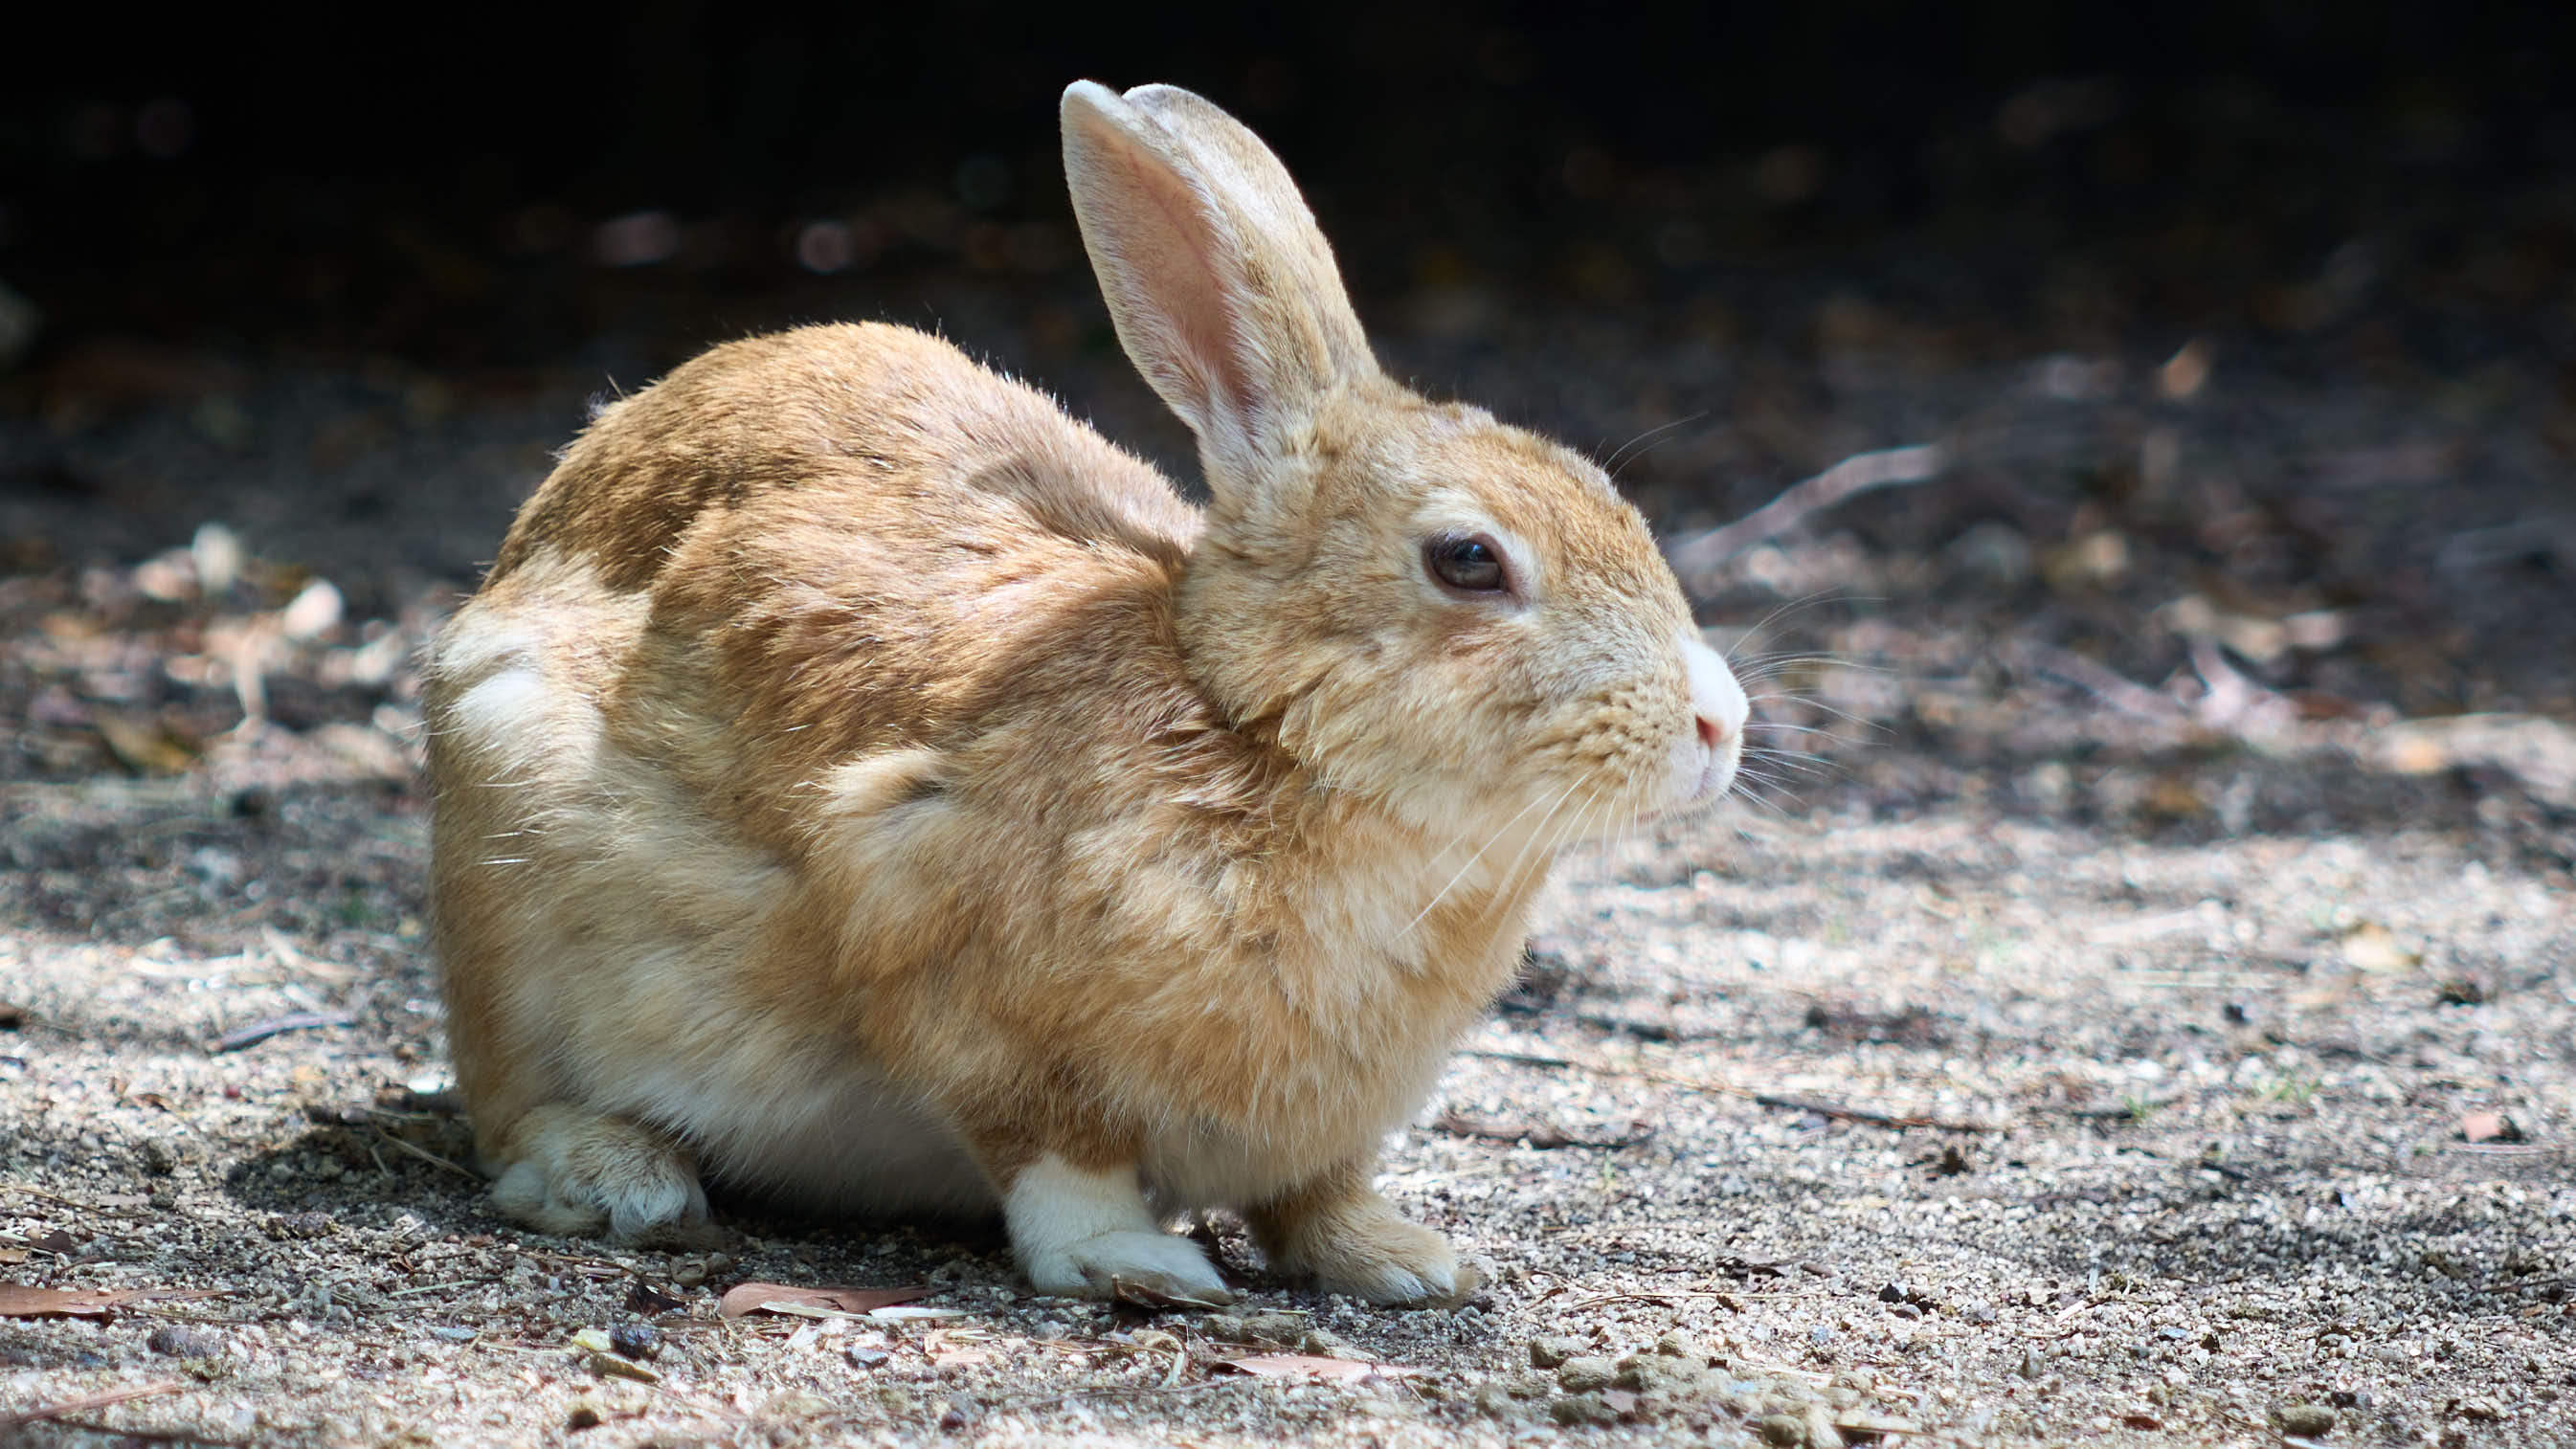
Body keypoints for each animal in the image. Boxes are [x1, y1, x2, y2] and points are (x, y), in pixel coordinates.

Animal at [427, 73, 1751, 1307]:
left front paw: (1407, 1260)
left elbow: (1315, 1190)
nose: (1719, 723)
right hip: (505, 840)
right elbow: (1060, 1156)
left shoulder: (1321, 1124)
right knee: (509, 1113)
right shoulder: (955, 963)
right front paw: (1140, 1262)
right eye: (1468, 559)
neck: (1258, 734)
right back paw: (618, 1178)